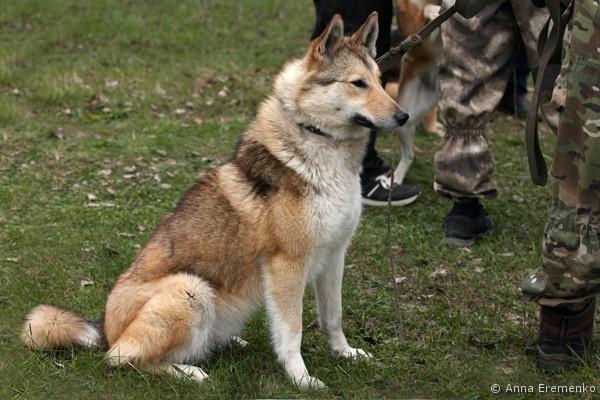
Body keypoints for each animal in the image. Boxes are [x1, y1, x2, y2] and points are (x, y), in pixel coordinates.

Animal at [20, 12, 408, 390]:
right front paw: (302, 379)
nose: (403, 117)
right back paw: (188, 373)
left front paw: (346, 354)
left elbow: (333, 317)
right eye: (357, 83)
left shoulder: (334, 255)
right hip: (189, 289)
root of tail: (104, 328)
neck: (322, 146)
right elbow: (292, 333)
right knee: (121, 358)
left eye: (379, 80)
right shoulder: (289, 264)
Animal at [385, 0, 442, 184]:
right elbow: (428, 11)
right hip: (405, 122)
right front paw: (436, 10)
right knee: (409, 156)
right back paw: (395, 179)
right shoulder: (415, 31)